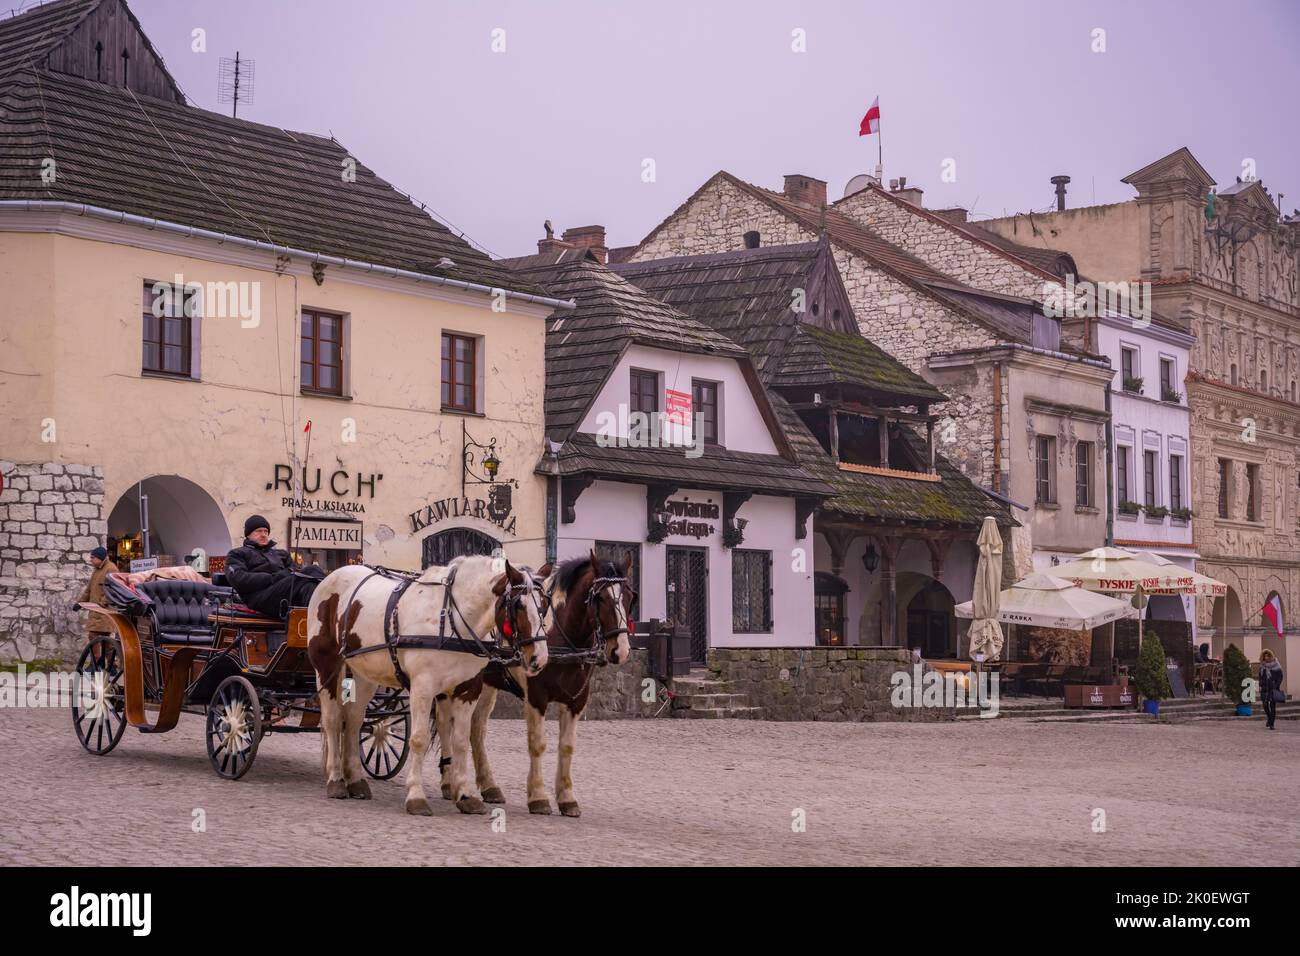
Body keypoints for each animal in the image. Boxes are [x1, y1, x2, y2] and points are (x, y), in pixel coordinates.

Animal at [309, 554, 548, 816]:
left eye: (544, 606)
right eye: (518, 605)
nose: (539, 658)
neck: (452, 619)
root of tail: (332, 575)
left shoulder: (468, 689)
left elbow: (460, 741)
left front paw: (466, 795)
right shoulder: (422, 688)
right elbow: (418, 739)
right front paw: (416, 796)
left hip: (365, 673)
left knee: (353, 721)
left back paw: (355, 781)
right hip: (327, 666)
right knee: (332, 720)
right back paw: (335, 780)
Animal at [436, 554, 634, 816]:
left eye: (630, 596)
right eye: (601, 597)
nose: (620, 651)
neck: (558, 634)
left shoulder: (576, 701)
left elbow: (567, 746)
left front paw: (567, 797)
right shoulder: (536, 697)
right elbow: (537, 744)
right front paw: (538, 796)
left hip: (486, 684)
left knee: (476, 729)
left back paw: (489, 785)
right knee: (444, 725)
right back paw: (449, 782)